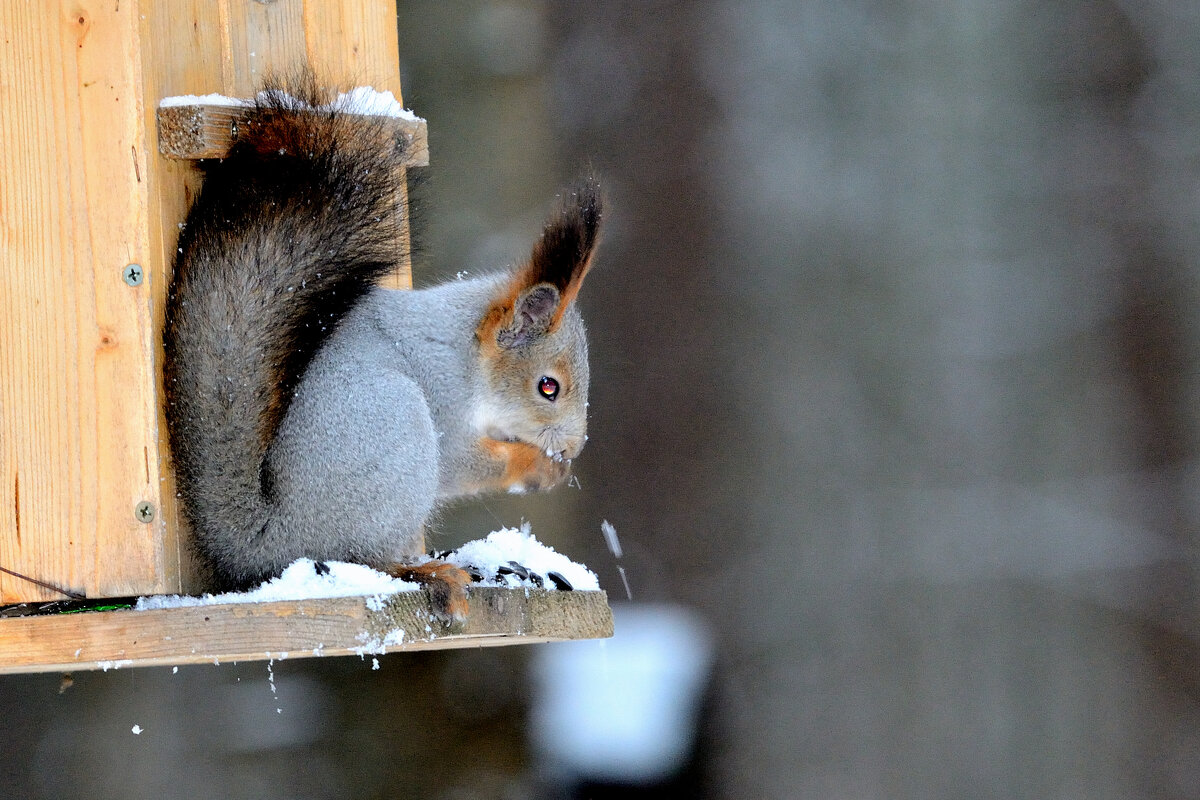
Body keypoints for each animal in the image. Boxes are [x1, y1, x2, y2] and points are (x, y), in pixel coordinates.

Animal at [162, 77, 600, 618]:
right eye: (547, 387)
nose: (574, 446)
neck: (465, 354)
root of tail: (273, 539)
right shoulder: (444, 399)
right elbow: (461, 464)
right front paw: (540, 468)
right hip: (396, 429)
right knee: (364, 556)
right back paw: (425, 570)